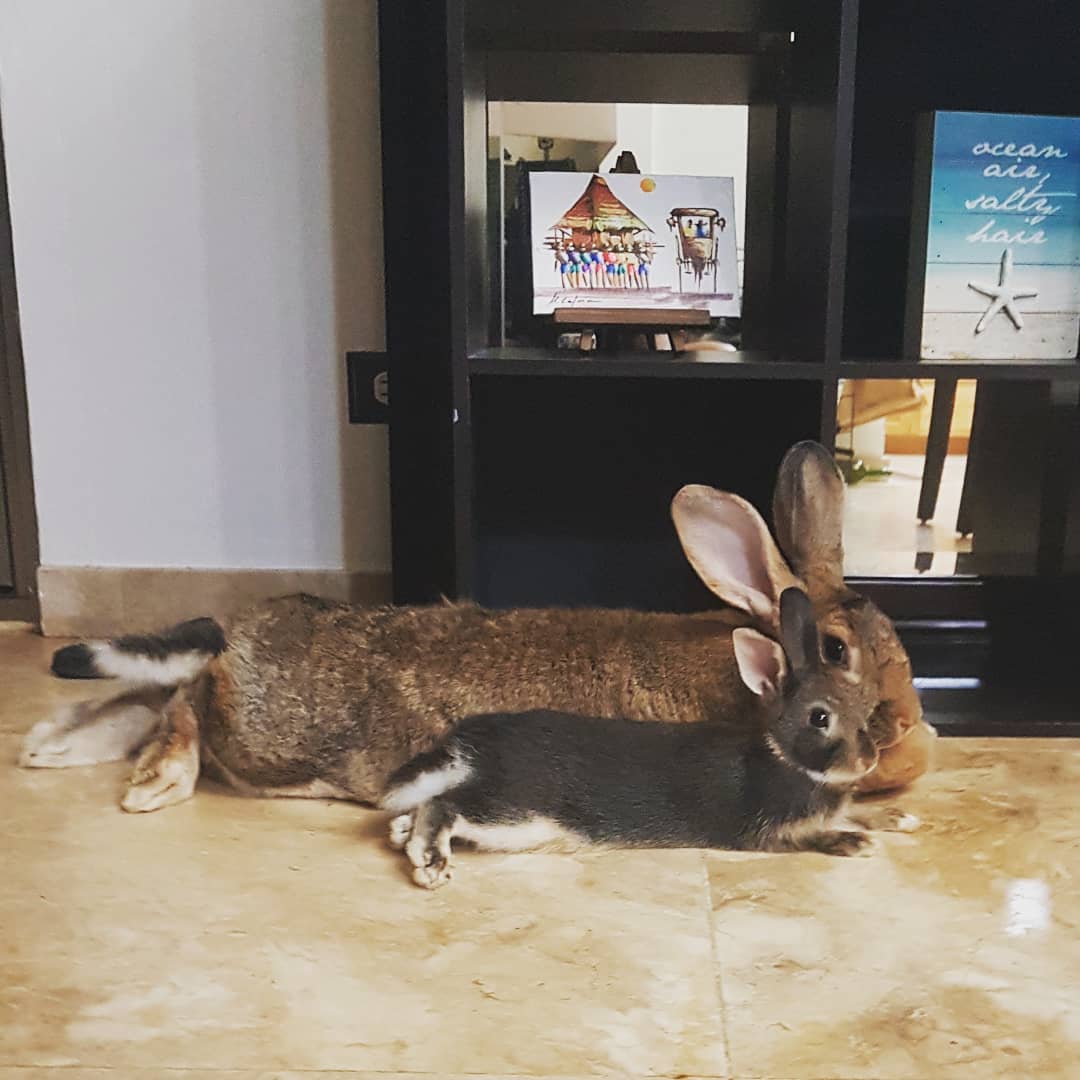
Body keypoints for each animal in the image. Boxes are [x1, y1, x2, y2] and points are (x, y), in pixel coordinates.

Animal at [20, 441, 934, 814]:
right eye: (836, 651)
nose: (909, 729)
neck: (745, 678)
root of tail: (241, 634)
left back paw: (49, 746)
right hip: (268, 735)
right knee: (186, 708)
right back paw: (150, 784)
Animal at [381, 587, 915, 890]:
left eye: (860, 707)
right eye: (820, 717)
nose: (867, 760)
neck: (784, 756)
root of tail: (470, 744)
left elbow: (859, 809)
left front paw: (900, 817)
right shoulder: (768, 832)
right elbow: (812, 836)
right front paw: (856, 842)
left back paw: (402, 833)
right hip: (520, 814)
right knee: (445, 807)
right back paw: (430, 862)